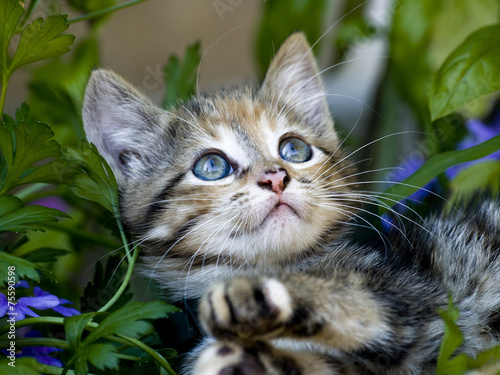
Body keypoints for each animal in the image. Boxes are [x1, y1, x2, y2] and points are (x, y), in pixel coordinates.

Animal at [83, 33, 500, 374]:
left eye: (294, 149)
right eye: (212, 166)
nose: (275, 177)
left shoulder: (420, 299)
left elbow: (369, 309)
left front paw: (257, 299)